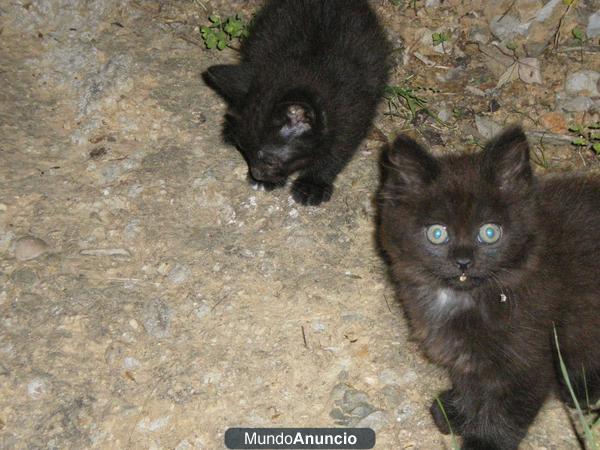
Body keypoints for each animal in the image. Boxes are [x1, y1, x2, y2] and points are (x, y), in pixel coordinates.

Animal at [203, 0, 390, 206]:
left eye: (269, 161)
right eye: (243, 151)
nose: (257, 174)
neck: (311, 66)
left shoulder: (353, 113)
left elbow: (337, 151)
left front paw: (312, 184)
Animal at [380, 126, 600, 450]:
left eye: (489, 232)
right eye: (437, 234)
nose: (463, 261)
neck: (464, 297)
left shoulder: (529, 358)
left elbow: (505, 410)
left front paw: (483, 441)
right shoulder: (467, 357)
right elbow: (472, 384)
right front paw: (459, 413)